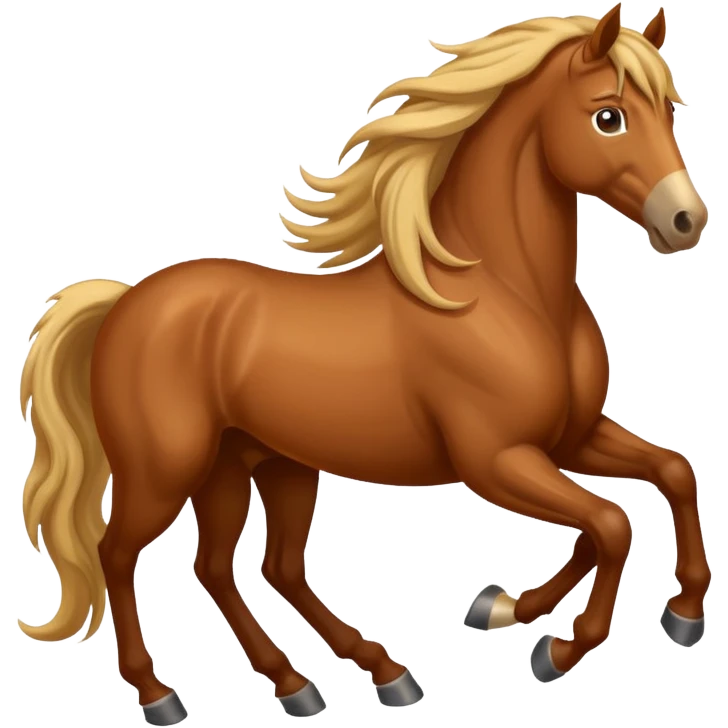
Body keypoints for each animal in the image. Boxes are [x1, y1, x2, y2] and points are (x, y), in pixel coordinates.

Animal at [17, 5, 711, 724]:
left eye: (670, 111)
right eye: (609, 116)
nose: (685, 221)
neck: (507, 294)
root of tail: (126, 302)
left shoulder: (568, 438)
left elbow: (668, 476)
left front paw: (538, 608)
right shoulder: (498, 461)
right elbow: (611, 524)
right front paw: (560, 648)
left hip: (257, 465)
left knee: (245, 567)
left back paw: (334, 680)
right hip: (166, 468)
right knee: (119, 554)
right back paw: (162, 695)